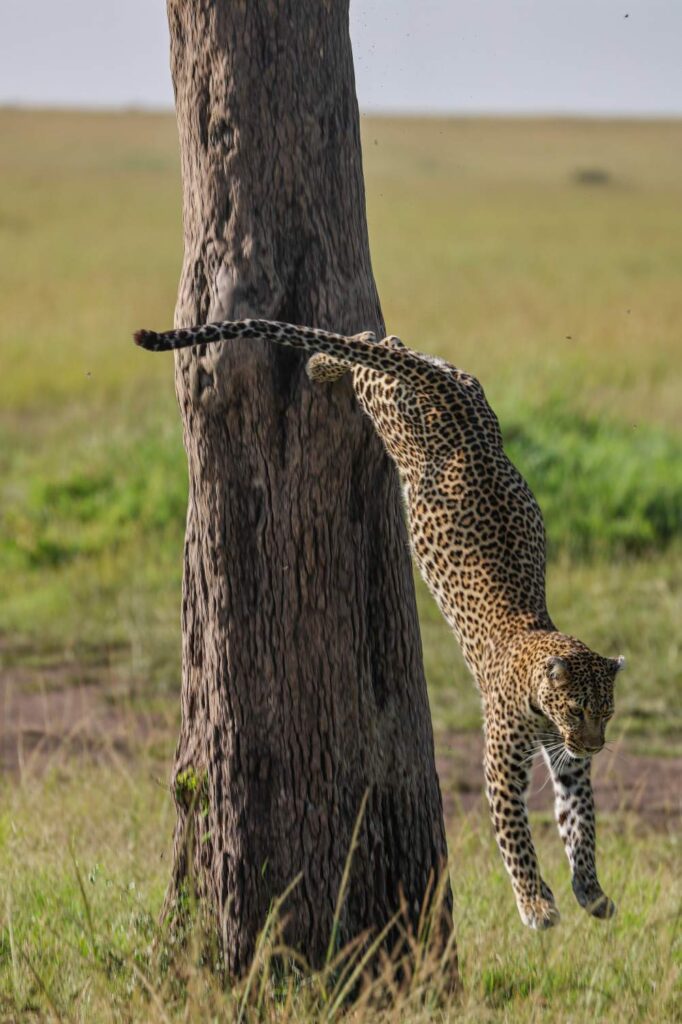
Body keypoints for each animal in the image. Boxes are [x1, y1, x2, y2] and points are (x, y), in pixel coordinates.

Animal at [135, 318, 625, 930]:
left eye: (605, 713)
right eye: (578, 710)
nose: (595, 746)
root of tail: (445, 392)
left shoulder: (567, 766)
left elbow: (580, 823)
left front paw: (591, 889)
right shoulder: (500, 763)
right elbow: (516, 837)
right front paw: (535, 903)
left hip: (464, 384)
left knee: (389, 347)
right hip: (394, 418)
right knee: (370, 358)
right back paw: (323, 365)